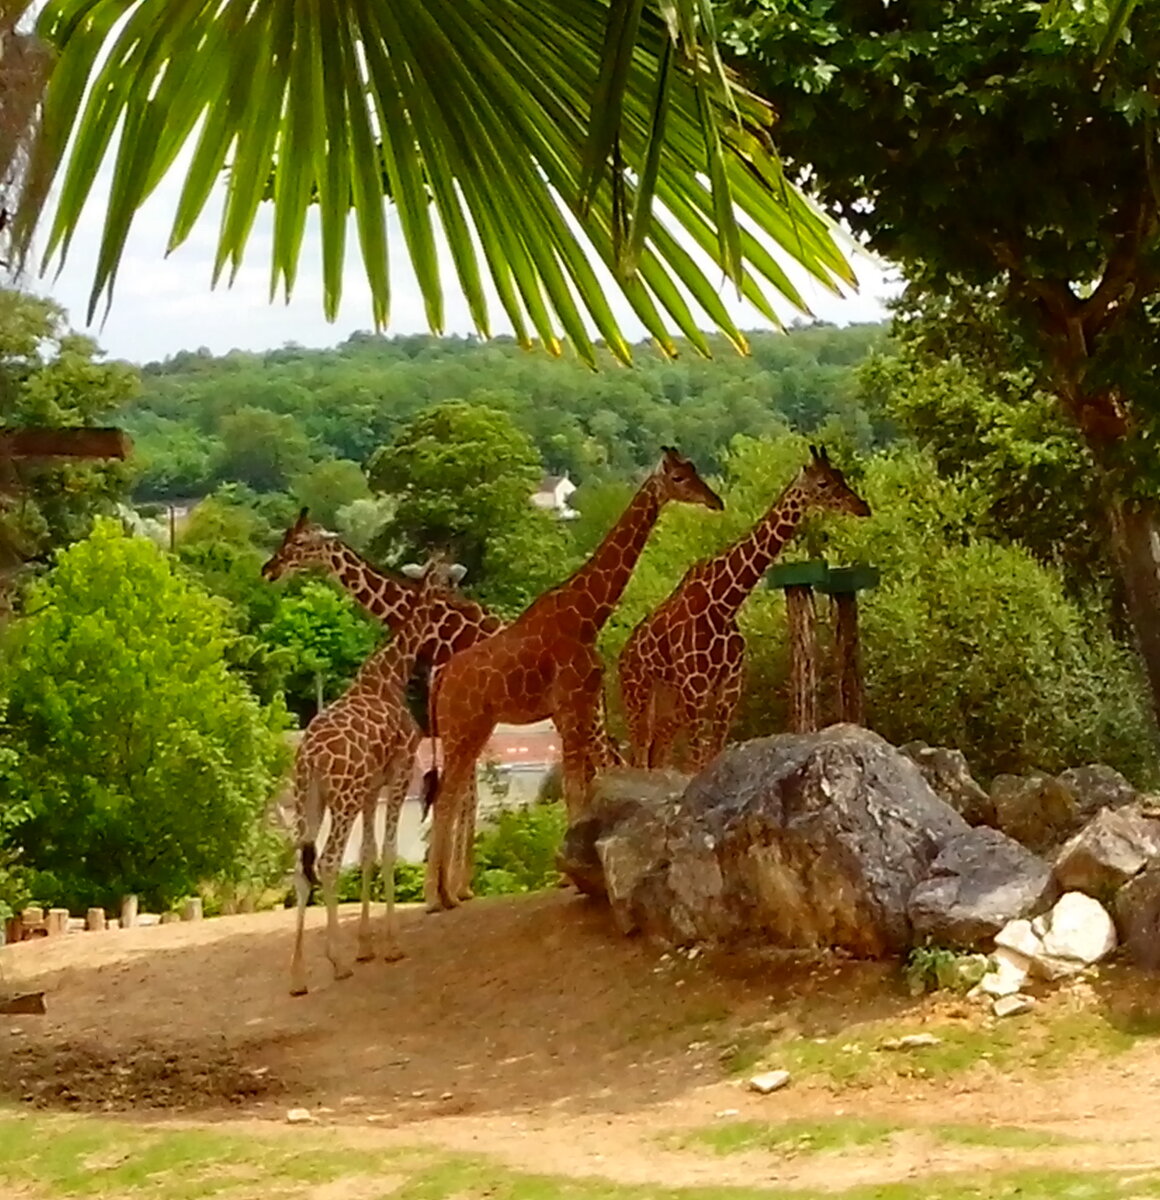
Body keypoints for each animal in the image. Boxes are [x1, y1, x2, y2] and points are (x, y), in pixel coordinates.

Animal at [287, 555, 455, 996]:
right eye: (446, 579)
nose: (451, 600)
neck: (391, 673)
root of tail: (310, 758)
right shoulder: (399, 773)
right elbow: (390, 850)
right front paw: (390, 946)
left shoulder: (369, 790)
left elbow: (367, 854)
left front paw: (366, 947)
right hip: (340, 800)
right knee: (328, 862)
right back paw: (336, 962)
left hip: (308, 800)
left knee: (301, 870)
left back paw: (297, 977)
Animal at [422, 447, 724, 911]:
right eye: (678, 477)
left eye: (692, 469)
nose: (715, 500)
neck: (588, 614)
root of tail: (439, 679)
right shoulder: (567, 707)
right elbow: (572, 788)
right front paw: (571, 878)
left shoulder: (581, 706)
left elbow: (582, 786)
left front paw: (575, 872)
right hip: (461, 729)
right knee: (445, 799)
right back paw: (439, 899)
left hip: (473, 731)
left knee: (450, 798)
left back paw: (449, 894)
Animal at [618, 445, 871, 774]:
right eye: (823, 483)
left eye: (839, 475)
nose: (862, 506)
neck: (724, 604)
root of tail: (622, 656)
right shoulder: (695, 688)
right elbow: (697, 760)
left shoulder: (729, 687)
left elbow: (713, 753)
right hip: (638, 694)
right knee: (639, 751)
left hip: (668, 701)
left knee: (656, 752)